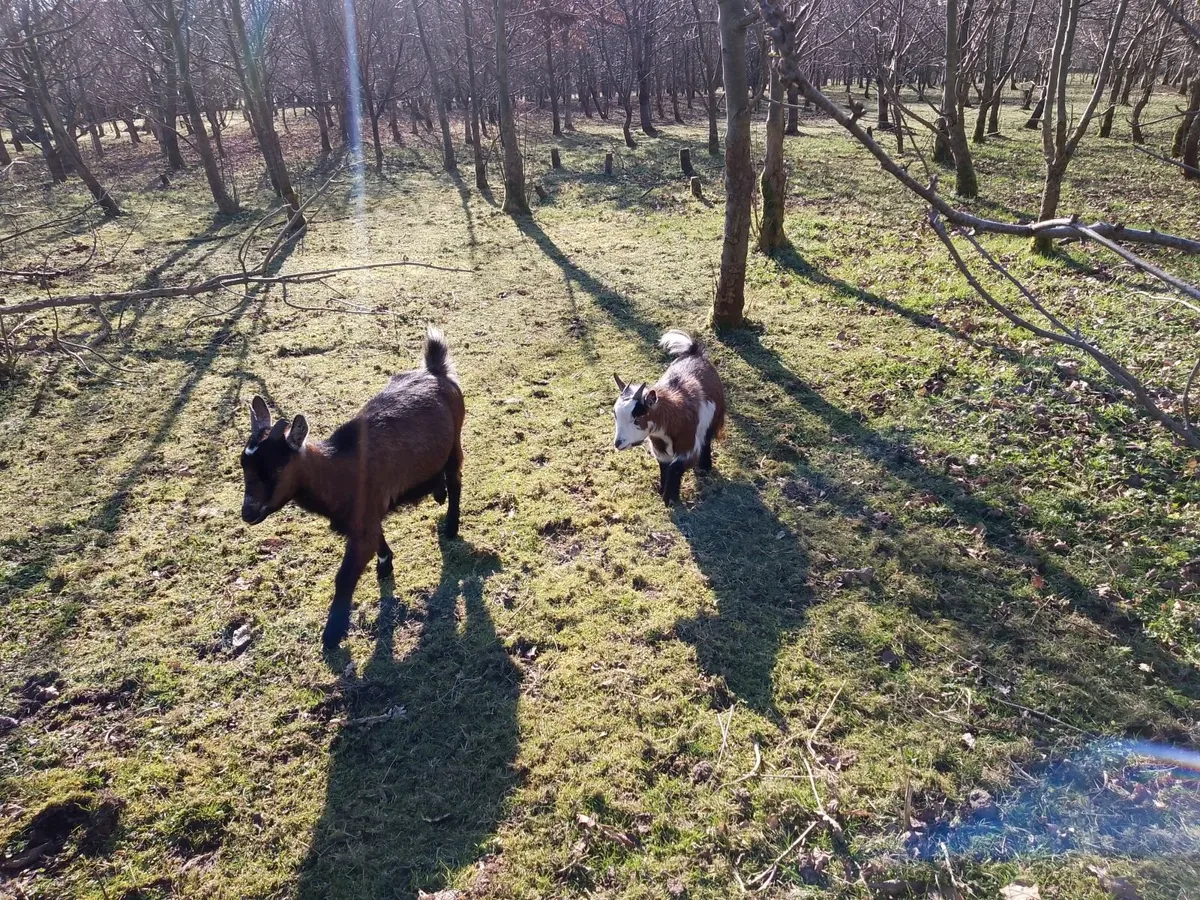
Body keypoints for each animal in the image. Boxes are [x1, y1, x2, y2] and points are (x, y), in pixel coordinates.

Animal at [239, 327, 465, 651]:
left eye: (279, 468)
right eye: (243, 463)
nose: (248, 512)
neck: (338, 468)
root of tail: (436, 370)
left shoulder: (362, 522)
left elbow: (344, 577)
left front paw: (332, 635)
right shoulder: (366, 517)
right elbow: (378, 540)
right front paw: (385, 565)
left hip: (455, 441)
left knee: (456, 478)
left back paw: (451, 525)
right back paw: (437, 494)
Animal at [612, 330, 726, 505]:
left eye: (637, 419)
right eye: (615, 416)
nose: (618, 443)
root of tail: (694, 352)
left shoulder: (687, 446)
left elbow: (675, 468)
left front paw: (670, 499)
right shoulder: (659, 447)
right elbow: (664, 467)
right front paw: (662, 491)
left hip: (714, 419)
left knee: (707, 440)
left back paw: (705, 468)